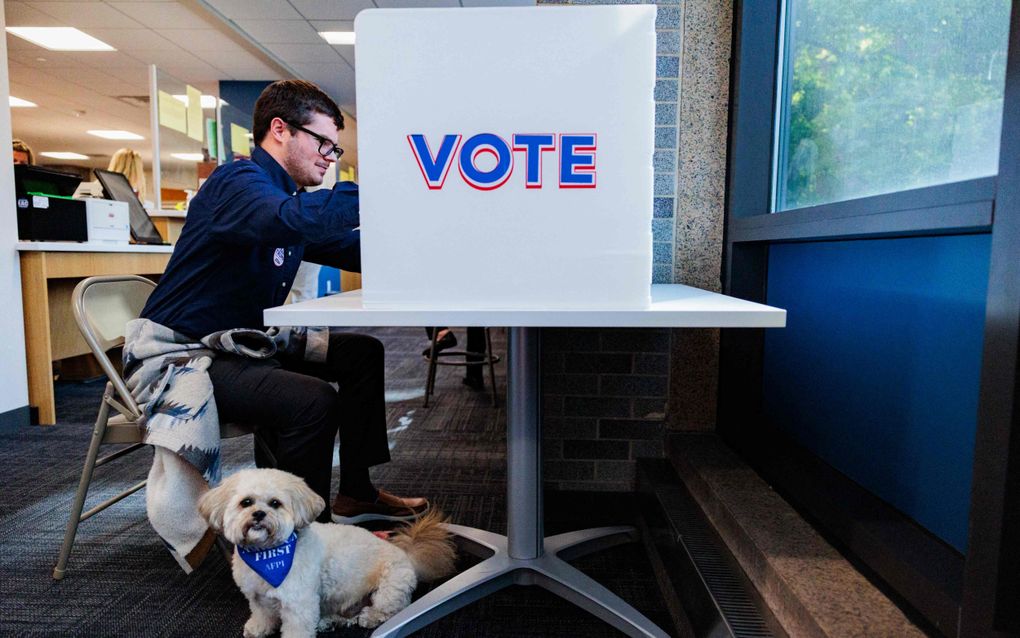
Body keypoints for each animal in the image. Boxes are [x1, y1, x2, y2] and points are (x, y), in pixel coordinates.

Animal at [198, 467, 454, 636]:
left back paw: (368, 617)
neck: (266, 555)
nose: (259, 514)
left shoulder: (298, 604)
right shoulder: (257, 597)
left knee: (387, 610)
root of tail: (407, 556)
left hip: (388, 590)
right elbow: (262, 614)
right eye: (246, 502)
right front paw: (258, 628)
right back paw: (328, 622)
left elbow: (297, 629)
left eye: (275, 503)